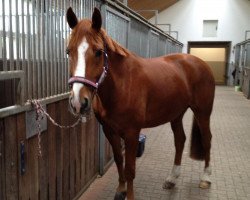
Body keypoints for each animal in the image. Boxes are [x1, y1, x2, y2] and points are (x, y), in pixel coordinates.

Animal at [66, 7, 215, 200]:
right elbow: (119, 160)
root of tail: (200, 63)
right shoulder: (109, 131)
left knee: (207, 139)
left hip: (202, 112)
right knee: (180, 140)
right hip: (176, 114)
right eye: (68, 51)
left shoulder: (132, 133)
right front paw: (120, 190)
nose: (78, 102)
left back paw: (206, 178)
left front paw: (128, 195)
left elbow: (130, 169)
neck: (122, 84)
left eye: (98, 52)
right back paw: (172, 178)